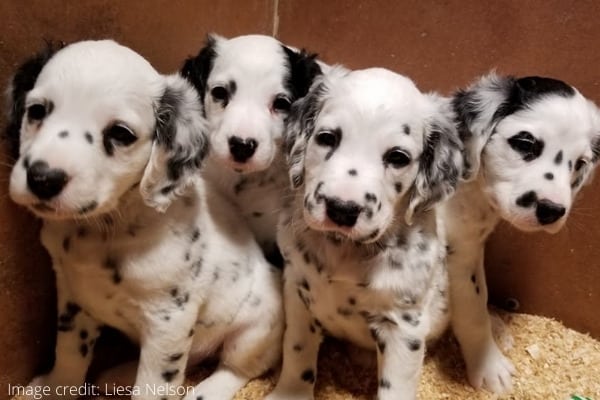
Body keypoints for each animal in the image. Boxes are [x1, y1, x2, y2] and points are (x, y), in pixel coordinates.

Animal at [6, 39, 284, 400]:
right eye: (37, 111)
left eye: (120, 134)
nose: (43, 179)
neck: (103, 230)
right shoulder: (72, 295)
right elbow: (68, 356)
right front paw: (55, 389)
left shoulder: (168, 321)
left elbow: (153, 387)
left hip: (255, 329)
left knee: (236, 369)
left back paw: (205, 391)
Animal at [268, 68, 464, 400]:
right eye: (327, 138)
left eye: (398, 157)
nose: (342, 209)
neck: (344, 250)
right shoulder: (298, 293)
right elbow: (297, 351)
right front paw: (290, 393)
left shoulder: (403, 326)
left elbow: (395, 388)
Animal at [446, 74, 600, 394]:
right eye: (524, 143)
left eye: (580, 163)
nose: (552, 210)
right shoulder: (456, 255)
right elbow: (472, 311)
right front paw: (489, 367)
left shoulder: (471, 248)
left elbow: (481, 297)